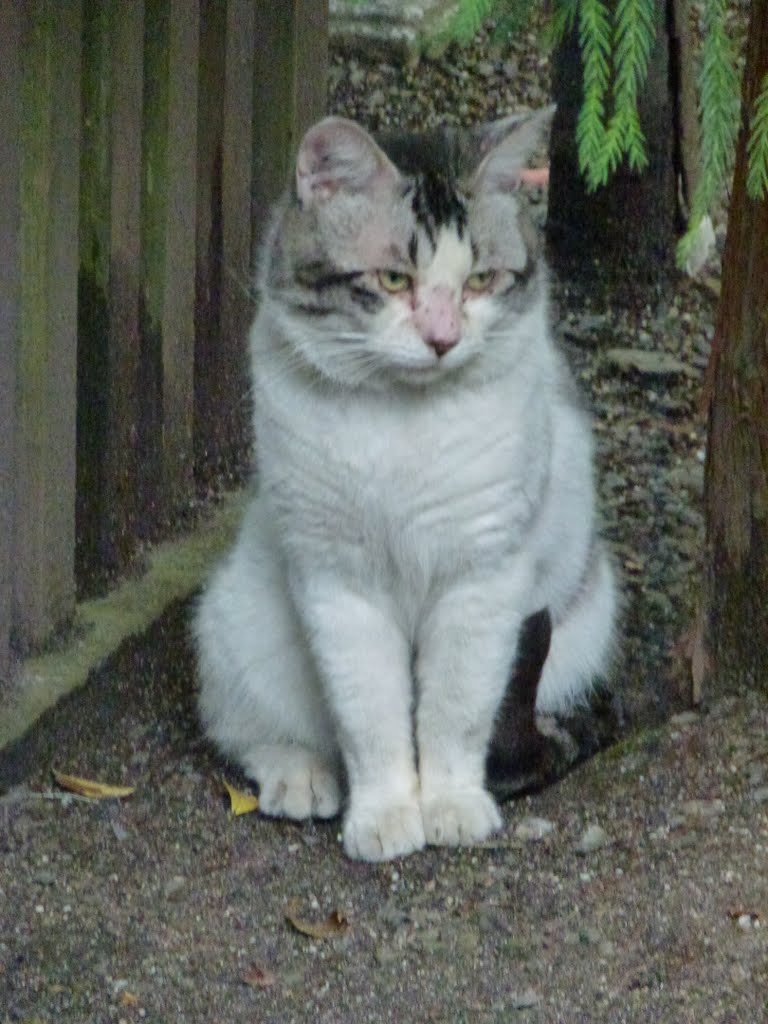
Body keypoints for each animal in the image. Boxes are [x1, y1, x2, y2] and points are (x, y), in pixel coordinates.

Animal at [193, 112, 618, 860]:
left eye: (480, 279)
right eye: (393, 279)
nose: (443, 338)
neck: (399, 428)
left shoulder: (481, 577)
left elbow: (456, 706)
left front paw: (450, 806)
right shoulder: (338, 582)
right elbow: (369, 712)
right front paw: (386, 816)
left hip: (583, 626)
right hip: (240, 624)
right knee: (245, 726)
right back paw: (300, 777)